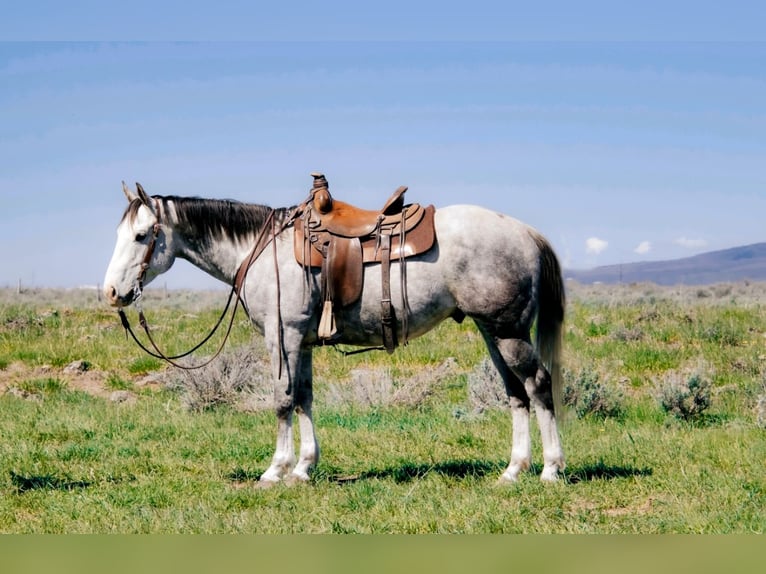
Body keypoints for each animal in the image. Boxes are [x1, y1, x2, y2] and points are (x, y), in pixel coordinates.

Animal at [105, 180, 568, 486]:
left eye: (142, 235)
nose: (112, 292)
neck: (261, 249)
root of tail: (525, 232)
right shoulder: (302, 342)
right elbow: (304, 399)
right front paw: (304, 468)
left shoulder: (281, 337)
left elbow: (282, 400)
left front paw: (275, 470)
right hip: (493, 331)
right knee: (515, 392)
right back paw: (513, 471)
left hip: (508, 331)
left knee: (538, 384)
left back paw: (550, 469)